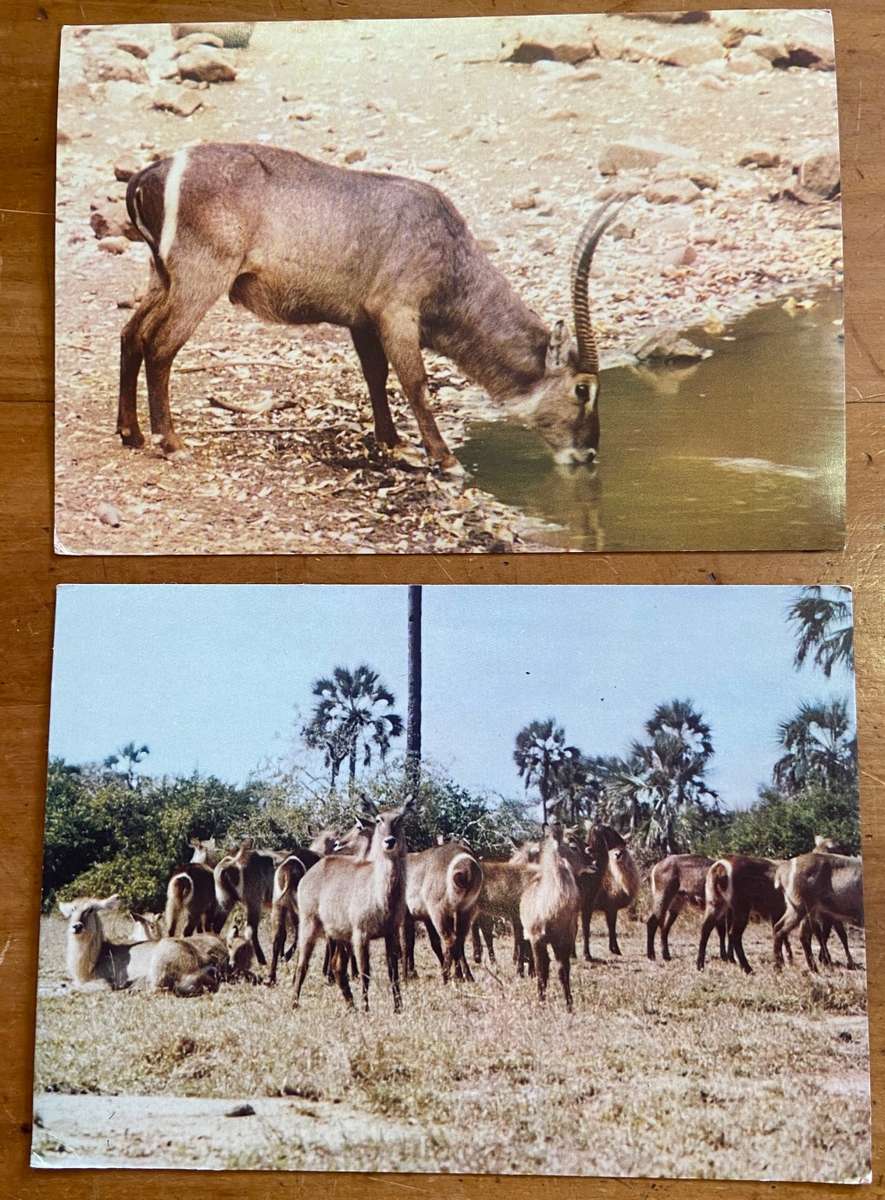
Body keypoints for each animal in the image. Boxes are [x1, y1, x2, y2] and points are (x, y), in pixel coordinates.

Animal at [119, 142, 620, 475]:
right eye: (583, 389)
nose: (589, 454)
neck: (450, 253)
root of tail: (152, 173)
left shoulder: (361, 320)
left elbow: (375, 376)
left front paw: (393, 444)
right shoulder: (396, 313)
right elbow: (415, 382)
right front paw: (444, 458)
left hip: (161, 277)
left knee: (131, 335)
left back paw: (131, 433)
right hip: (199, 278)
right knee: (160, 346)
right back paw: (170, 442)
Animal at [292, 798, 414, 1012]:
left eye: (399, 819)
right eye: (379, 819)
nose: (389, 841)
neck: (382, 895)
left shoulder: (391, 933)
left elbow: (393, 973)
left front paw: (398, 1008)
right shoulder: (360, 934)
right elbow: (365, 972)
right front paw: (366, 1008)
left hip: (338, 935)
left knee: (337, 966)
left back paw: (350, 1005)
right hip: (309, 925)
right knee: (302, 964)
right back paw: (294, 1003)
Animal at [403, 840, 483, 983]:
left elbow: (405, 945)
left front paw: (404, 976)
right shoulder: (425, 918)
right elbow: (432, 943)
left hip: (438, 911)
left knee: (451, 939)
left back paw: (446, 976)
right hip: (465, 910)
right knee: (459, 940)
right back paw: (465, 976)